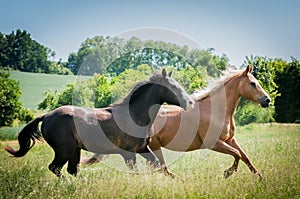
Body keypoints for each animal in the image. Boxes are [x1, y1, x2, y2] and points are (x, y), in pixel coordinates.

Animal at [4, 69, 195, 176]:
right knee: (55, 168)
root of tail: (46, 116)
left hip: (75, 150)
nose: (191, 103)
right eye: (173, 87)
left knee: (72, 170)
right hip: (64, 150)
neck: (135, 116)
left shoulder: (142, 149)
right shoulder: (128, 153)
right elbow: (136, 172)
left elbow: (159, 165)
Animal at [82, 65, 272, 179]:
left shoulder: (229, 139)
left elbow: (245, 156)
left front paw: (261, 178)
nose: (267, 100)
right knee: (161, 167)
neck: (216, 111)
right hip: (154, 147)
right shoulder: (214, 143)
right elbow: (237, 154)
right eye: (252, 83)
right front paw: (227, 173)